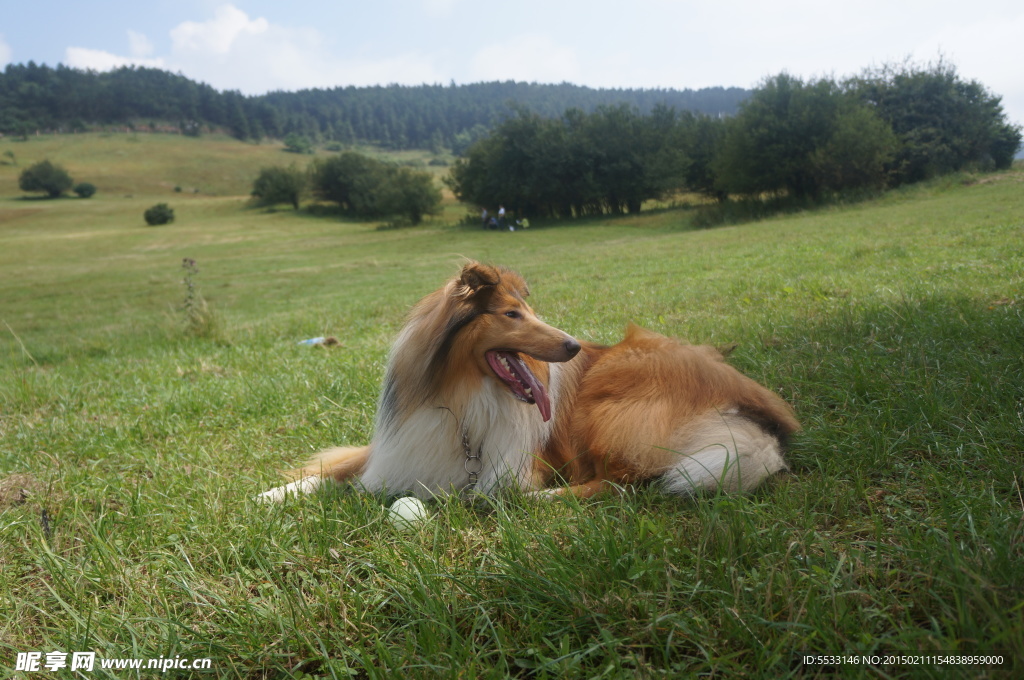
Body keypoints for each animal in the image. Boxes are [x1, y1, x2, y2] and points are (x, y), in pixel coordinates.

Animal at [256, 262, 798, 501]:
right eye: (512, 314)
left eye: (531, 311)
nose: (574, 345)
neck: (461, 397)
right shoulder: (397, 448)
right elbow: (337, 468)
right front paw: (275, 495)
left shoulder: (513, 464)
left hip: (608, 402)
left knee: (612, 483)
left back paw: (538, 501)